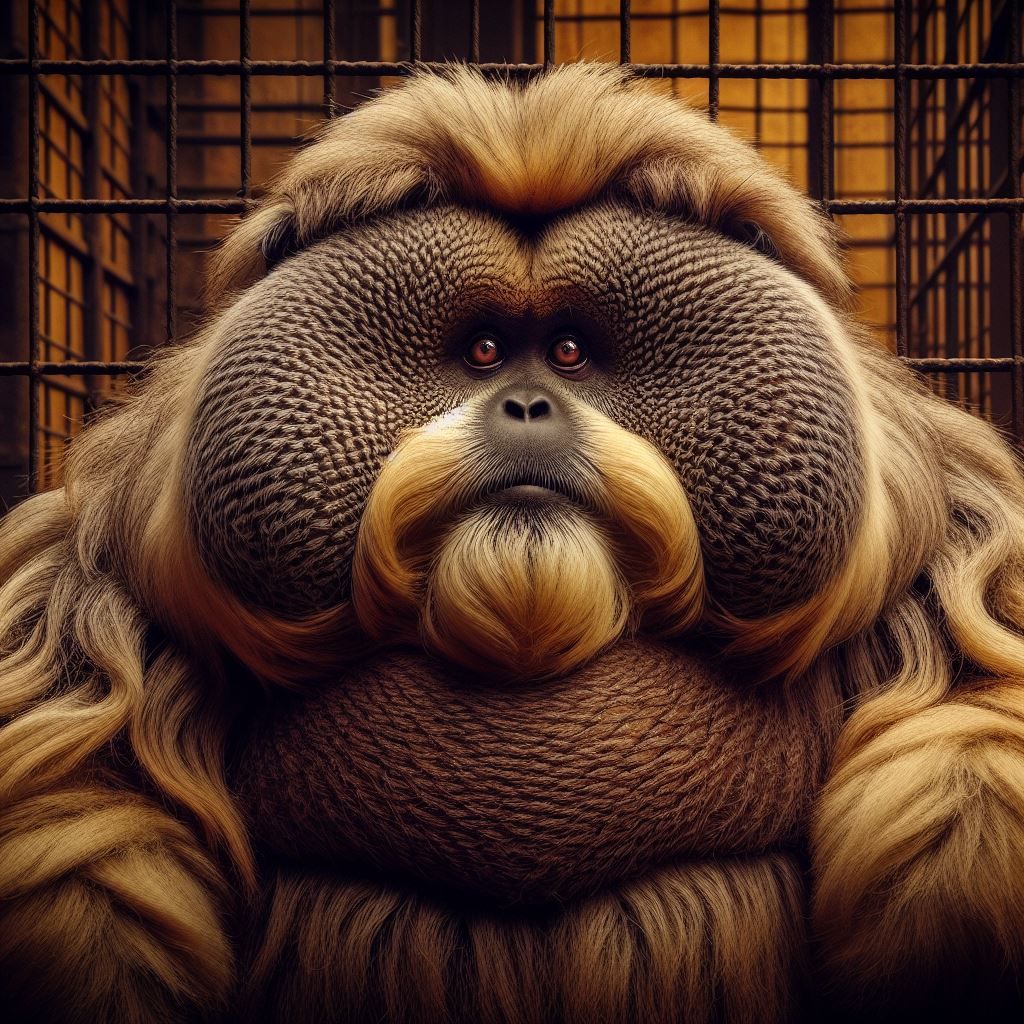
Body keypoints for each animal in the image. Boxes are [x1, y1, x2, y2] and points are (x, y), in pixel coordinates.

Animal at [1, 62, 1023, 1024]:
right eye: (486, 352)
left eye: (568, 352)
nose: (527, 405)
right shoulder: (87, 583)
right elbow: (87, 813)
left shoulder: (963, 546)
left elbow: (969, 739)